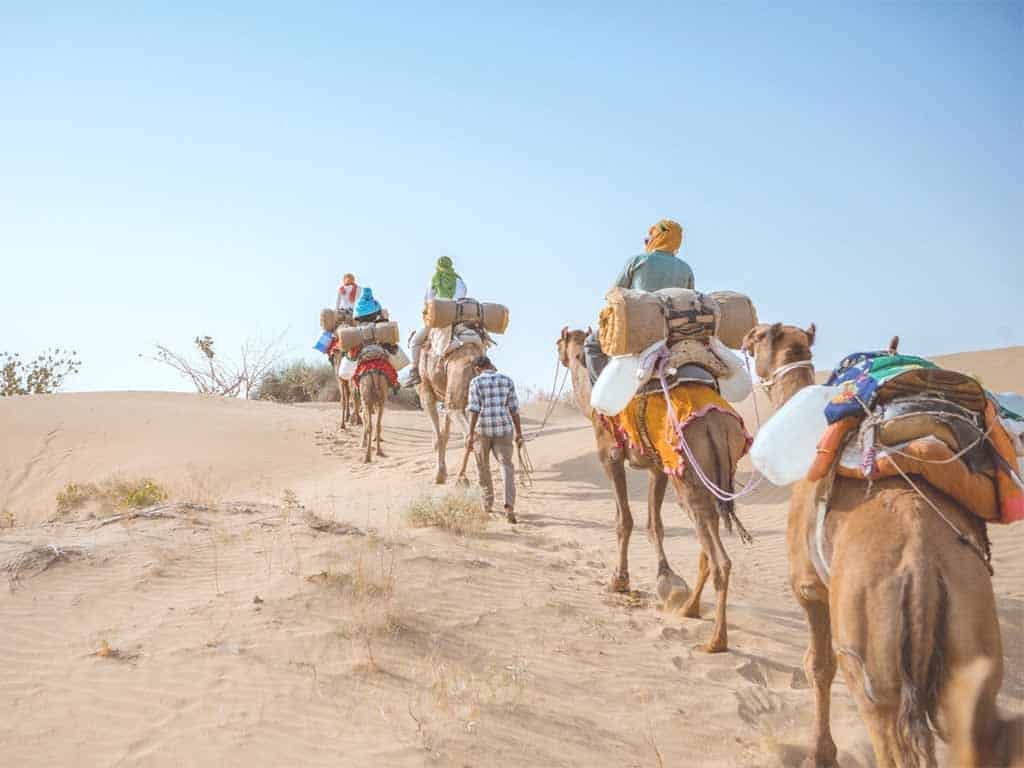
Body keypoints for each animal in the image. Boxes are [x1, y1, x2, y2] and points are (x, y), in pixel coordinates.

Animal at [415, 331, 479, 487]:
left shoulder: (426, 392)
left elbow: (438, 437)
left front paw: (438, 476)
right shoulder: (445, 395)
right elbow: (445, 434)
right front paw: (442, 473)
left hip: (455, 393)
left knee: (470, 434)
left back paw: (464, 478)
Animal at [561, 327, 753, 651]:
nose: (561, 353)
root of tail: (714, 423)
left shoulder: (609, 454)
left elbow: (624, 520)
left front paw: (620, 580)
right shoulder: (657, 466)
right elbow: (655, 524)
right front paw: (666, 578)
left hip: (687, 473)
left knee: (720, 560)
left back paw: (716, 640)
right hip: (709, 472)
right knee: (707, 541)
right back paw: (689, 608)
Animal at [741, 323, 1019, 768]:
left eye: (759, 335)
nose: (744, 338)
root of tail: (921, 567)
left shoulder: (808, 586)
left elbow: (818, 665)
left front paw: (821, 753)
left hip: (873, 658)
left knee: (887, 731)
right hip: (972, 637)